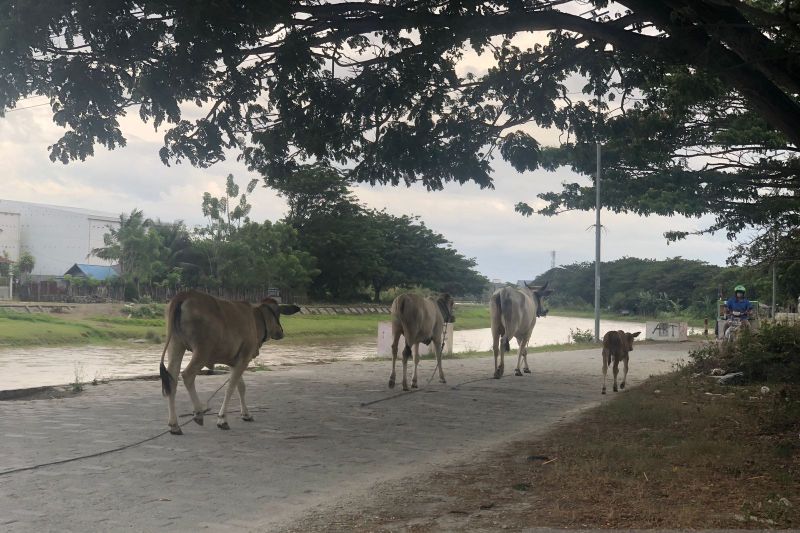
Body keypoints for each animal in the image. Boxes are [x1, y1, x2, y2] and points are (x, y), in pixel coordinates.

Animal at [159, 288, 300, 434]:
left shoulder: (235, 361)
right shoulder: (244, 358)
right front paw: (222, 419)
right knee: (187, 375)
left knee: (171, 379)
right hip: (202, 351)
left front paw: (246, 414)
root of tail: (184, 294)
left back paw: (174, 425)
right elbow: (231, 387)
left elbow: (241, 387)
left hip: (175, 345)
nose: (281, 332)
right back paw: (198, 413)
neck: (255, 320)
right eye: (278, 313)